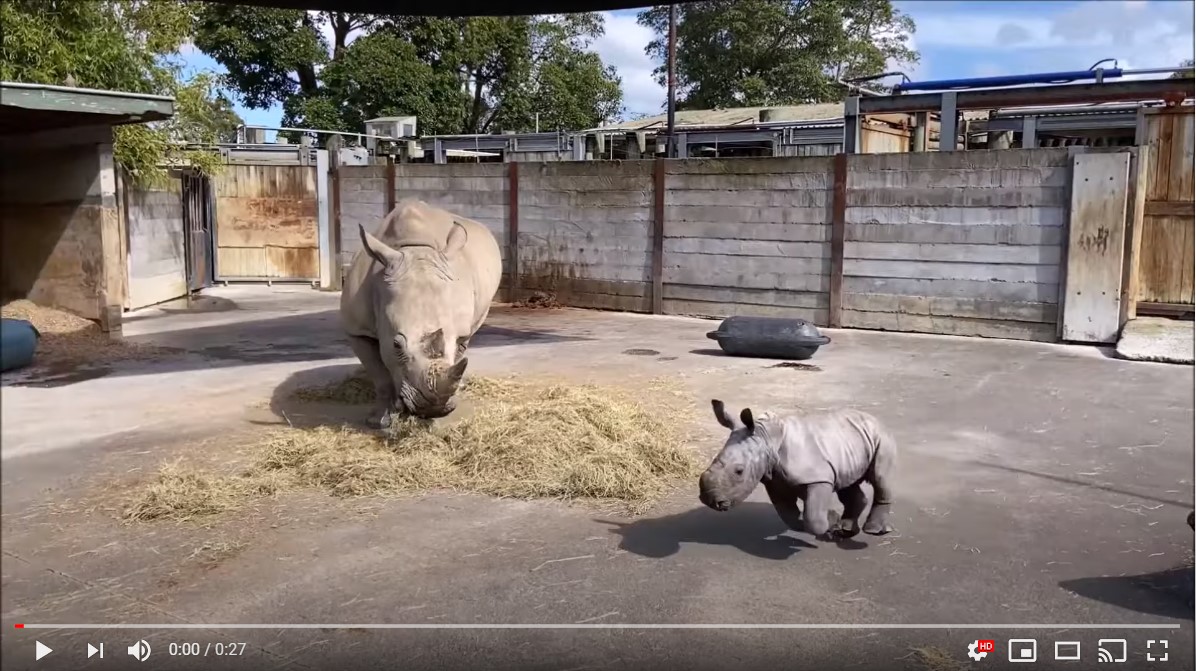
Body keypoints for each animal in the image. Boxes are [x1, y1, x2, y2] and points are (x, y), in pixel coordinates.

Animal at [339, 197, 502, 423]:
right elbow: (380, 377)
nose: (432, 410)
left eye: (455, 339)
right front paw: (380, 420)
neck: (414, 248)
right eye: (396, 345)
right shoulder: (356, 329)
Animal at [698, 397, 899, 538]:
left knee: (880, 478)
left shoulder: (819, 478)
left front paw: (828, 521)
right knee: (848, 483)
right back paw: (845, 531)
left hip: (881, 437)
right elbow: (790, 516)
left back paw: (873, 531)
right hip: (849, 443)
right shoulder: (774, 480)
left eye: (739, 471)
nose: (709, 500)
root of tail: (873, 418)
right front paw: (831, 519)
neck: (766, 439)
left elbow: (813, 518)